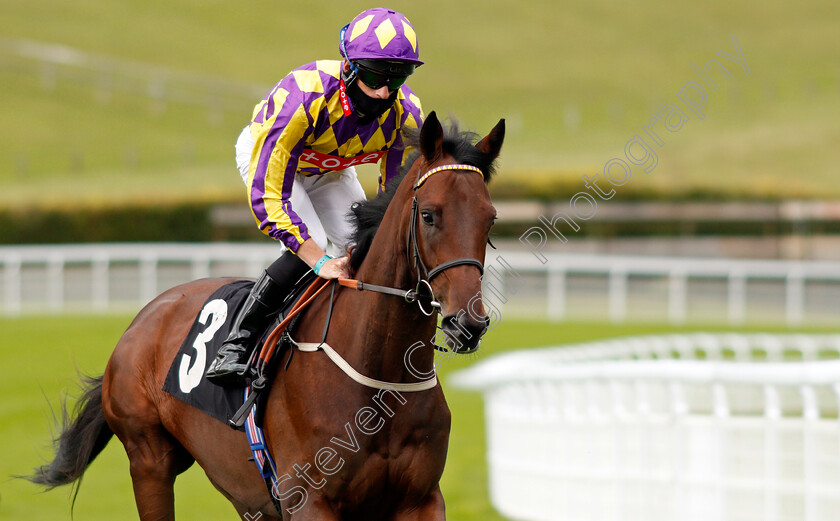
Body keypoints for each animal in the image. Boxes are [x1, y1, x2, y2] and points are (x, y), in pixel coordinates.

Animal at [27, 110, 506, 520]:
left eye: (490, 219)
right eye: (429, 215)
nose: (469, 323)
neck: (380, 374)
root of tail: (145, 316)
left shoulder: (420, 499)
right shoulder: (310, 501)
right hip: (149, 460)